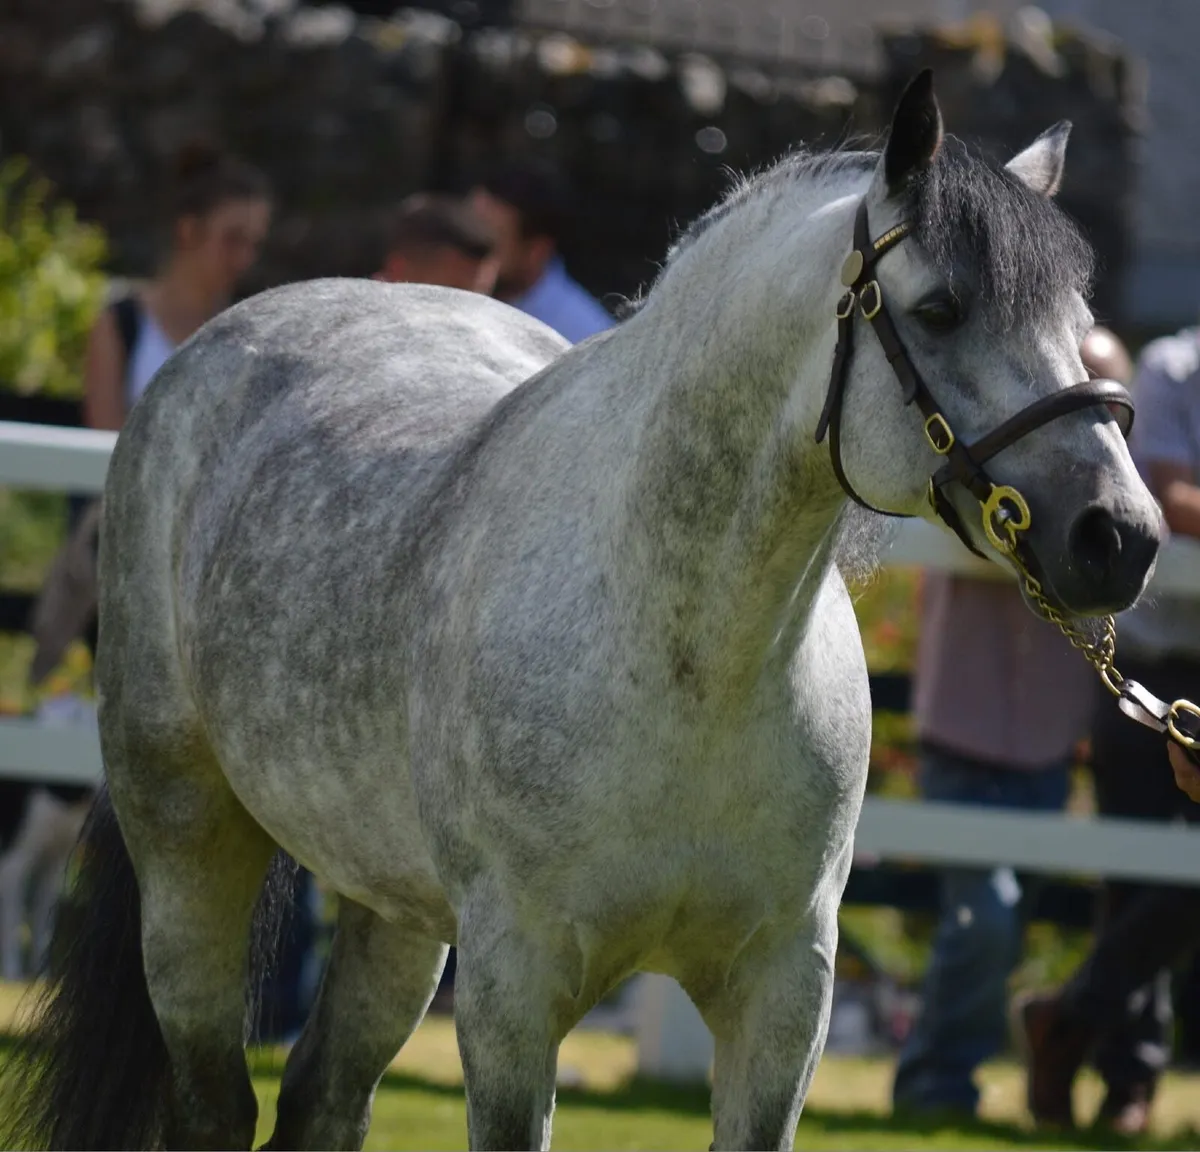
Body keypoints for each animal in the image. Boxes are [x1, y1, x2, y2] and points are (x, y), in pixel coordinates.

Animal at [0, 70, 1162, 1151]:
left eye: (1079, 327)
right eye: (938, 311)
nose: (1122, 536)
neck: (686, 662)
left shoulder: (783, 997)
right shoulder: (515, 993)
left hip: (394, 916)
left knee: (322, 1100)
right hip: (189, 853)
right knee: (214, 1103)